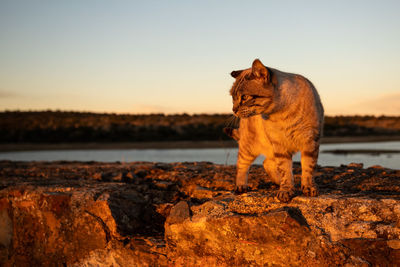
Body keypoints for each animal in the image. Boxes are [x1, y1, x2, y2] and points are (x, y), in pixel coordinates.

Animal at [227, 59, 324, 203]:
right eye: (233, 98)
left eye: (244, 97)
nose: (233, 110)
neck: (281, 114)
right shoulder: (280, 145)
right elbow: (285, 171)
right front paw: (286, 190)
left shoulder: (310, 141)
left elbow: (308, 168)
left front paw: (308, 188)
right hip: (249, 148)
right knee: (242, 165)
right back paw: (241, 186)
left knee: (266, 163)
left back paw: (280, 182)